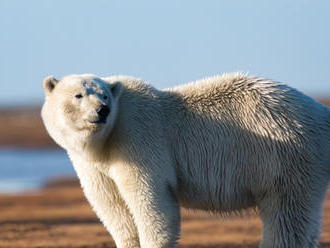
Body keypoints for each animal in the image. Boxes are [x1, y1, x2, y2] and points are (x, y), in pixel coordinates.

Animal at [42, 73, 330, 248]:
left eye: (104, 95)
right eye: (79, 95)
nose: (103, 110)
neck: (106, 138)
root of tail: (322, 112)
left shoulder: (137, 139)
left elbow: (152, 202)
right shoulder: (95, 164)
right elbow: (113, 207)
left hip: (287, 156)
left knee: (286, 215)